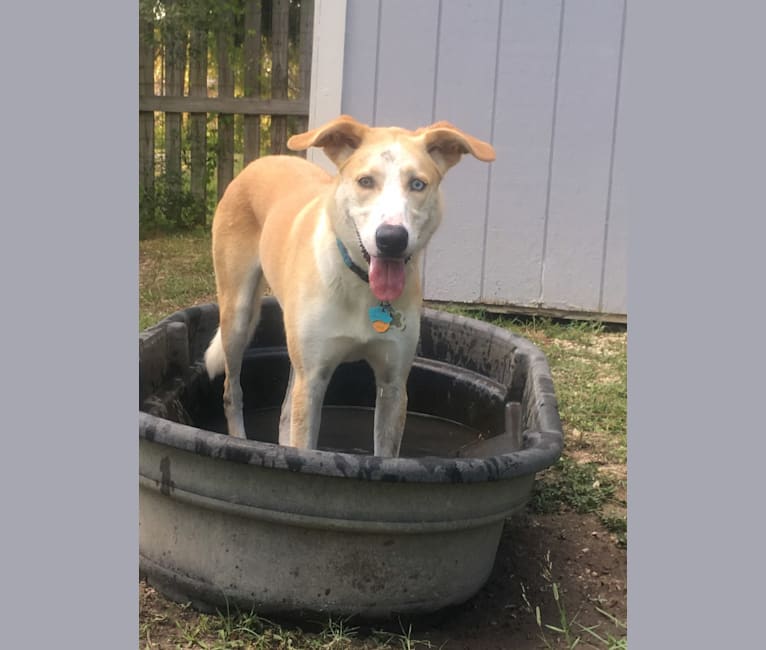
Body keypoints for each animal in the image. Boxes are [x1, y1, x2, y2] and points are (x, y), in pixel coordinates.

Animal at [204, 112, 496, 456]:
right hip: (238, 316)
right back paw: (238, 440)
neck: (361, 286)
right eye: (365, 181)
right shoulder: (313, 380)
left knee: (285, 412)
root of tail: (261, 161)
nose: (392, 239)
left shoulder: (393, 384)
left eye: (418, 184)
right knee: (231, 391)